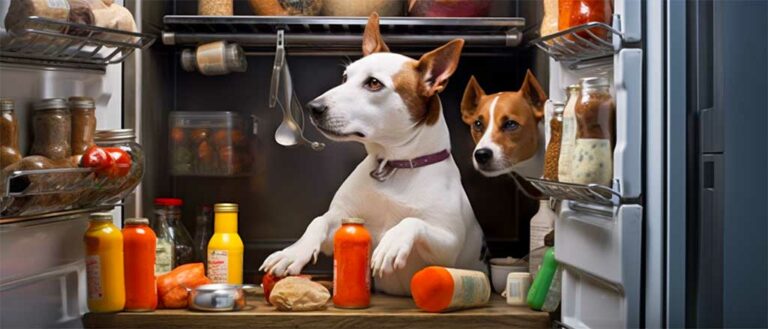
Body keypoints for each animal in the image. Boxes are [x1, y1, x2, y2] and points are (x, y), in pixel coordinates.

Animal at [260, 13, 486, 294]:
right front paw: (293, 252)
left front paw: (391, 244)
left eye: (374, 83)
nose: (313, 107)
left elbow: (412, 222)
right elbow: (318, 221)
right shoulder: (343, 219)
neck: (394, 165)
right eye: (345, 77)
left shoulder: (448, 245)